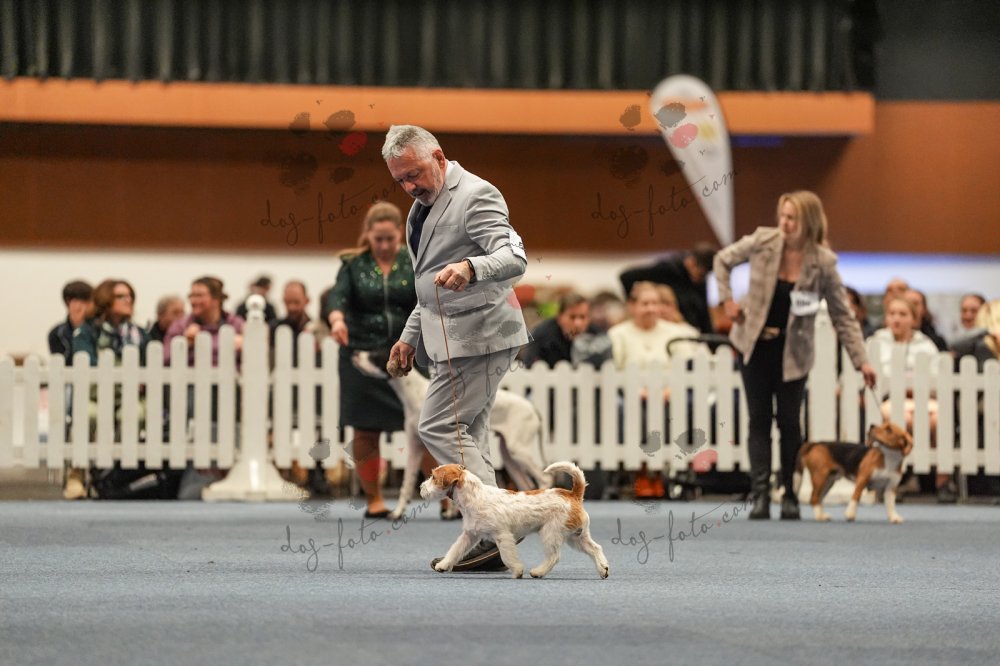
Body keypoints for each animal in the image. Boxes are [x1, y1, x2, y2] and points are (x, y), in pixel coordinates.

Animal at [351, 350, 550, 520]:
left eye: (375, 354)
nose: (355, 353)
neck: (414, 393)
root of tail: (533, 408)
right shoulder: (415, 446)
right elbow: (407, 483)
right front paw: (398, 512)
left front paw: (452, 512)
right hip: (509, 456)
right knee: (526, 484)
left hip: (518, 450)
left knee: (543, 478)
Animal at [420, 461, 610, 579]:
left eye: (434, 477)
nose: (421, 487)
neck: (475, 497)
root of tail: (573, 494)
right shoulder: (469, 535)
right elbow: (455, 550)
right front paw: (443, 565)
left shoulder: (503, 536)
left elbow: (507, 556)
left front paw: (517, 571)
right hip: (577, 536)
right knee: (595, 548)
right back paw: (603, 569)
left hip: (551, 533)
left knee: (554, 556)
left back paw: (538, 572)